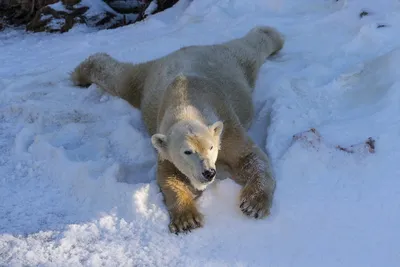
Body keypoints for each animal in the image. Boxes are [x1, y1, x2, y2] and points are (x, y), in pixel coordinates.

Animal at [70, 25, 286, 234]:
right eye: (187, 152)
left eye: (211, 147)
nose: (208, 173)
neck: (187, 102)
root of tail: (181, 50)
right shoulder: (165, 144)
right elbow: (169, 175)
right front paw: (186, 219)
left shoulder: (228, 126)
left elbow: (250, 157)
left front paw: (253, 204)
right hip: (149, 80)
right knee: (122, 79)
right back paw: (81, 73)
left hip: (227, 62)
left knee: (250, 49)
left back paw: (272, 35)